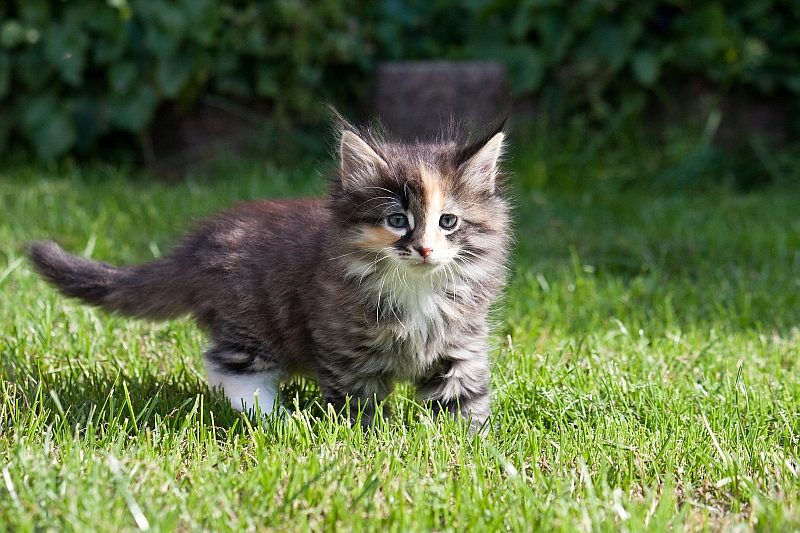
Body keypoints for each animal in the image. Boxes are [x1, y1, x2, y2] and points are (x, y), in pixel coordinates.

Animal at [29, 115, 512, 432]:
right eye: (397, 220)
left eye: (447, 222)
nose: (425, 249)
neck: (417, 287)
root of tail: (198, 245)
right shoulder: (345, 348)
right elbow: (358, 404)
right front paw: (369, 441)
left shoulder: (460, 345)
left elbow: (464, 401)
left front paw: (471, 449)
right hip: (250, 319)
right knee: (230, 369)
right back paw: (275, 418)